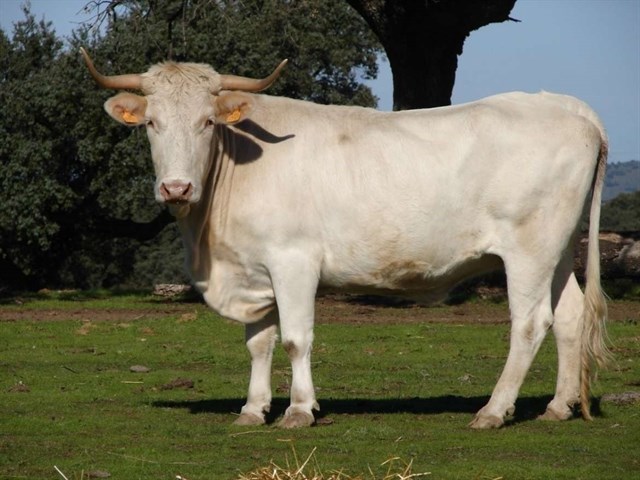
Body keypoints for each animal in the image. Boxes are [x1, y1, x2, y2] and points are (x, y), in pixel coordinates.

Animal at [81, 48, 609, 429]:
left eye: (206, 122)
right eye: (152, 123)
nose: (176, 188)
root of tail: (567, 106)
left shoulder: (293, 260)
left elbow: (295, 339)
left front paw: (298, 410)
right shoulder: (254, 270)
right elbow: (258, 342)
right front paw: (252, 410)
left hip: (529, 250)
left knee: (530, 323)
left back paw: (493, 411)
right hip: (558, 250)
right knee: (569, 316)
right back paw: (559, 407)